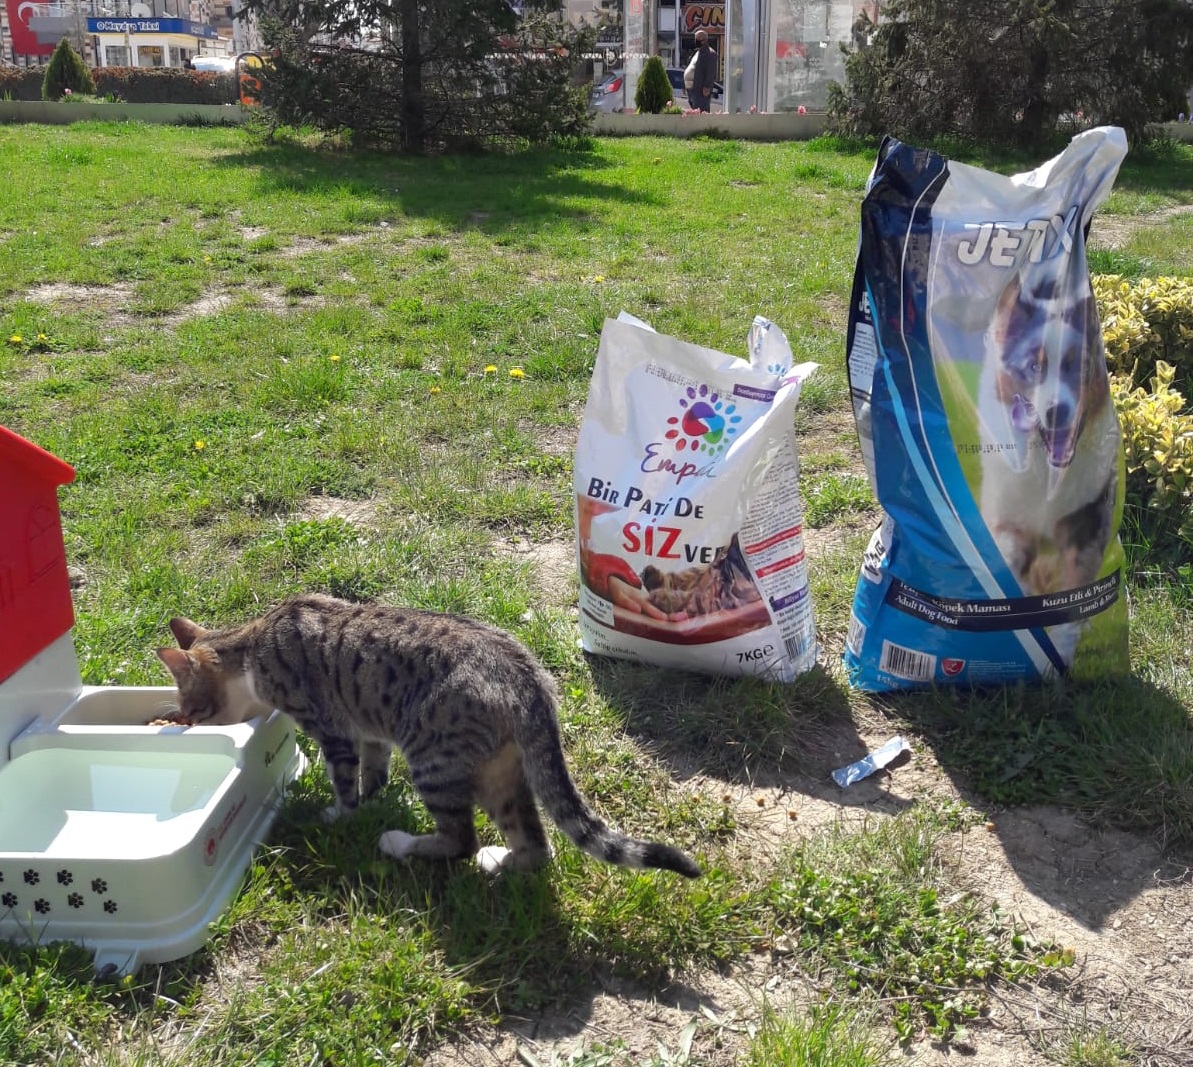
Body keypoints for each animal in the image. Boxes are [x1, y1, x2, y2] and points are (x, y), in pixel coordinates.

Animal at [156, 591, 696, 878]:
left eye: (192, 710)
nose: (184, 722)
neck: (252, 645)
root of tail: (531, 679)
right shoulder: (368, 727)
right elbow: (373, 772)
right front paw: (371, 798)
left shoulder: (332, 728)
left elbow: (343, 783)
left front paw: (338, 816)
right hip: (501, 772)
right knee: (533, 844)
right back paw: (501, 861)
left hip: (433, 759)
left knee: (461, 840)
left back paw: (399, 844)